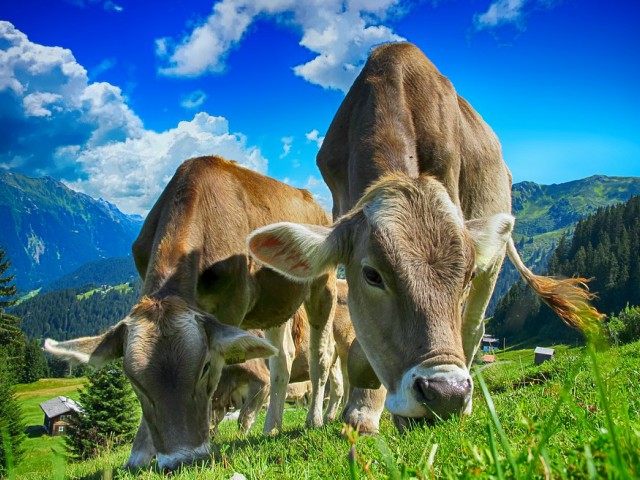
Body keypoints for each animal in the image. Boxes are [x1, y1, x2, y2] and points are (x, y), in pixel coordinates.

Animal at [44, 156, 337, 469]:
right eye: (133, 380)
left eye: (205, 367)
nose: (181, 460)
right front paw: (139, 455)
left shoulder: (231, 306)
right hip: (274, 305)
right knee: (282, 359)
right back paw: (271, 427)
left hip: (323, 285)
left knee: (321, 357)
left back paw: (314, 419)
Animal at [211, 279, 355, 433]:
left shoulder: (261, 380)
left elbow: (244, 417)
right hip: (334, 358)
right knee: (338, 385)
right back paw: (329, 417)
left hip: (346, 345)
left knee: (348, 380)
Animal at [247, 42, 602, 433]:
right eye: (372, 275)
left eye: (465, 276)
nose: (446, 393)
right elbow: (359, 347)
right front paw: (361, 412)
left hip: (493, 263)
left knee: (473, 328)